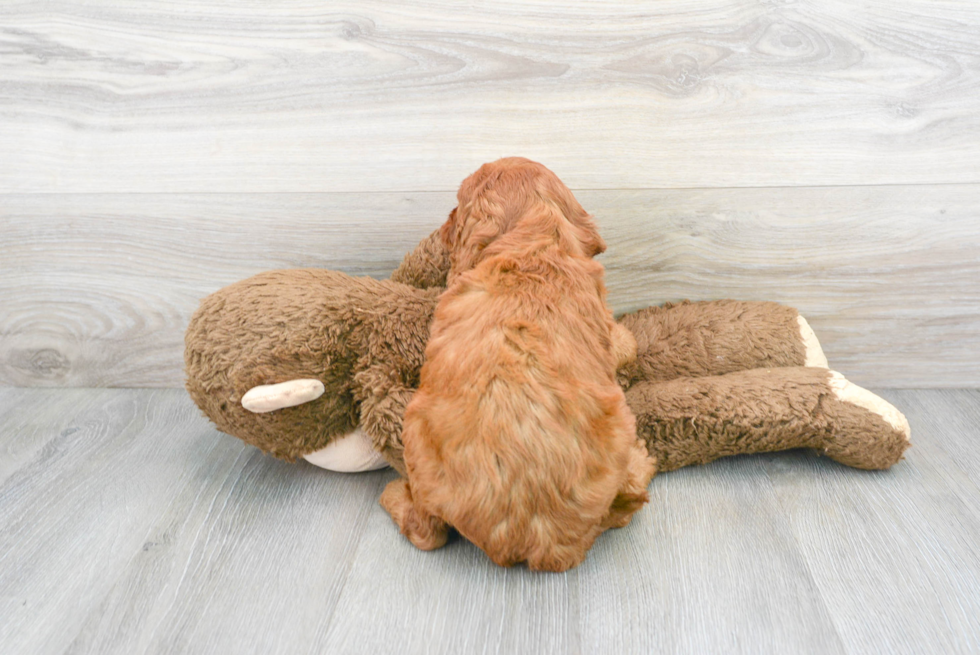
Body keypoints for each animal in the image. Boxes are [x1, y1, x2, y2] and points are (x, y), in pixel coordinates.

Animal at [378, 156, 656, 572]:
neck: (534, 247)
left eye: (458, 204)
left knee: (427, 531)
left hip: (415, 432)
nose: (444, 225)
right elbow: (627, 342)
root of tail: (536, 538)